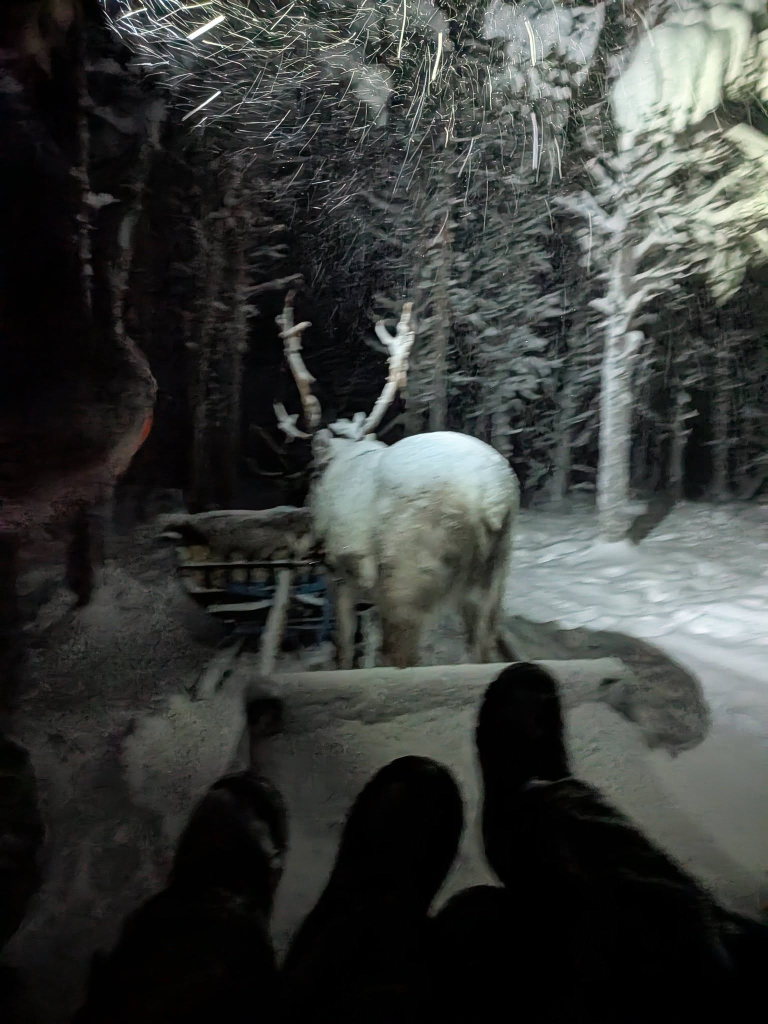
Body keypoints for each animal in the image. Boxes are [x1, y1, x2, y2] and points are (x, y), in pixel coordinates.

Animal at [274, 292, 520, 669]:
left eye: (311, 472)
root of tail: (492, 501)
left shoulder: (342, 572)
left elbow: (344, 644)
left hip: (406, 582)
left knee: (404, 657)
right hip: (492, 583)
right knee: (481, 650)